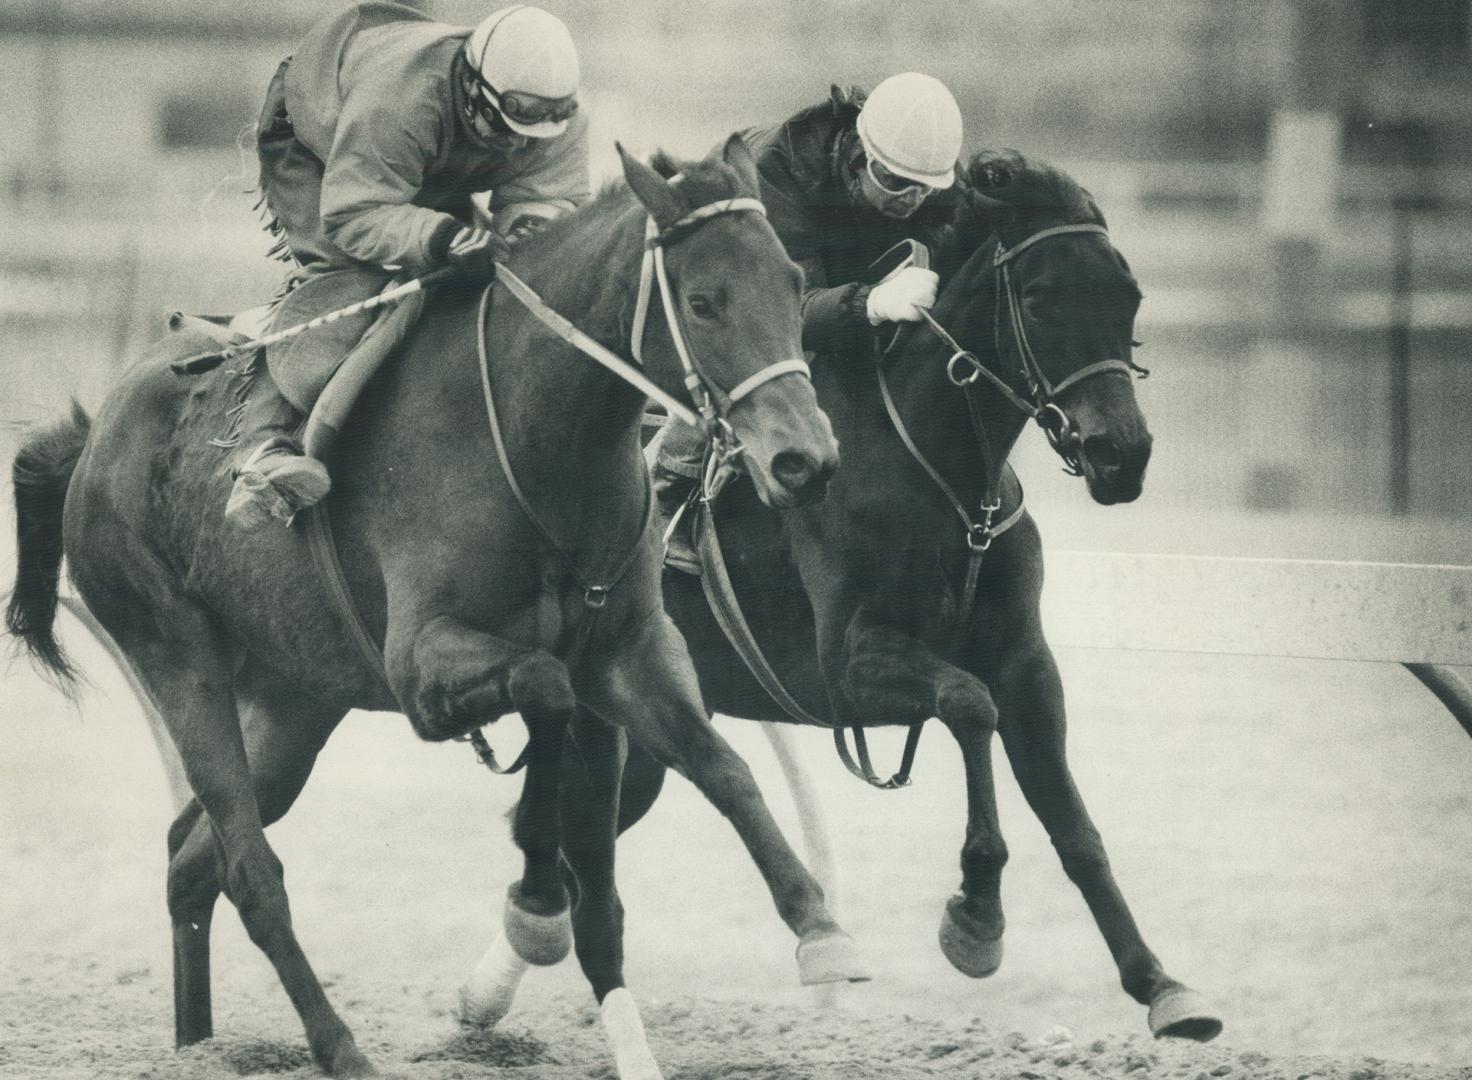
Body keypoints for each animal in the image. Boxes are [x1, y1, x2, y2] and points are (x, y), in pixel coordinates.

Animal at [5, 137, 865, 1080]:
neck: (534, 441)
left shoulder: (633, 650)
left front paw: (819, 926)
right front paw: (536, 903)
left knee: (193, 857)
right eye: (705, 301)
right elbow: (548, 692)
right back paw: (341, 1049)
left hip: (294, 697)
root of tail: (97, 432)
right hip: (175, 652)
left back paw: (199, 1045)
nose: (806, 460)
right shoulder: (423, 666)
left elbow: (722, 769)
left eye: (791, 280)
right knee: (248, 869)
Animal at [459, 147, 1218, 1047]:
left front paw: (1161, 984)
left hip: (635, 720)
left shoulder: (1029, 664)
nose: (1121, 455)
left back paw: (487, 990)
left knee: (577, 839)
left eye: (1128, 295)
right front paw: (976, 916)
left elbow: (1074, 826)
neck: (942, 479)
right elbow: (969, 706)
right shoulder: (847, 666)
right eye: (1038, 298)